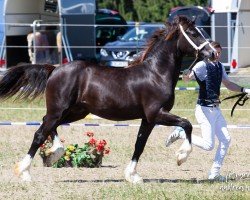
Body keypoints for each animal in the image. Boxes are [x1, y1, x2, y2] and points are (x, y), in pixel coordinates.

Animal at [0, 16, 215, 183]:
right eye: (193, 33)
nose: (213, 52)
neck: (156, 74)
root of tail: (54, 69)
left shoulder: (148, 119)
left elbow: (139, 144)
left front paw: (132, 176)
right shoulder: (157, 114)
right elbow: (187, 124)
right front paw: (181, 157)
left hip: (74, 112)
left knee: (47, 126)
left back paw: (56, 153)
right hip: (59, 110)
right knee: (40, 133)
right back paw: (25, 172)